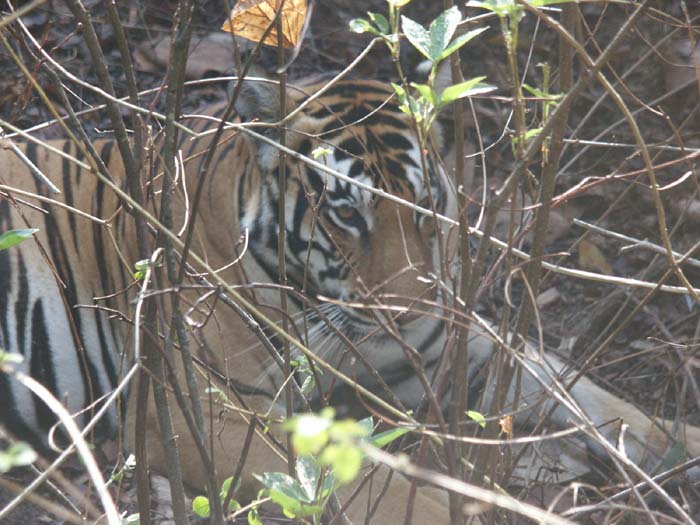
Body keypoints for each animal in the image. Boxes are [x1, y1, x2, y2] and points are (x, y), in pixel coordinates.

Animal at [0, 75, 696, 520]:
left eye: (425, 206)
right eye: (345, 215)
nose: (406, 313)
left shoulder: (444, 351)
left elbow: (583, 394)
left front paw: (680, 445)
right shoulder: (196, 407)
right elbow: (379, 487)